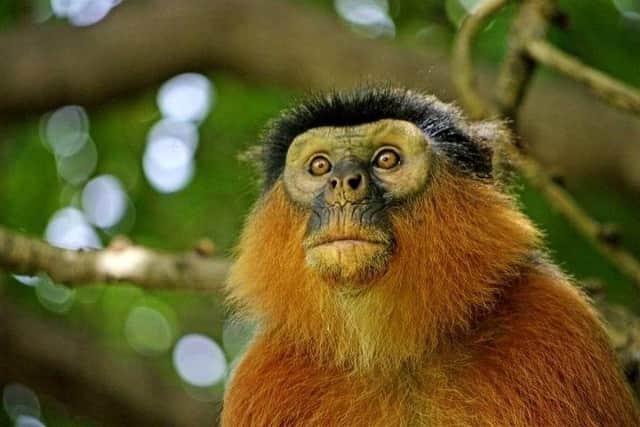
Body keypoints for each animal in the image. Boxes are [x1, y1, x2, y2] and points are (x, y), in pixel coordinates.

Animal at [222, 87, 639, 426]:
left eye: (386, 160)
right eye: (320, 166)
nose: (343, 183)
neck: (396, 358)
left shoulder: (555, 316)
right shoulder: (264, 372)